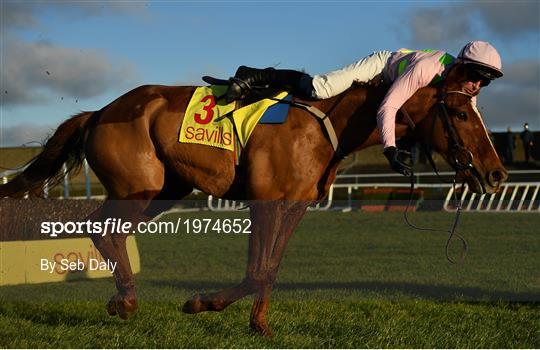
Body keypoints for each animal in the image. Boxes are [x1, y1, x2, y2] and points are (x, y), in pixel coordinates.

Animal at [0, 63, 506, 336]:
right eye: (461, 113)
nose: (496, 173)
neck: (328, 123)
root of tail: (99, 111)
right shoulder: (265, 200)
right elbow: (257, 269)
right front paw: (201, 303)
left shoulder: (294, 206)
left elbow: (270, 268)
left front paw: (259, 324)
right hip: (135, 188)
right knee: (97, 225)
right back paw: (124, 300)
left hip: (165, 190)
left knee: (109, 231)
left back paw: (123, 299)